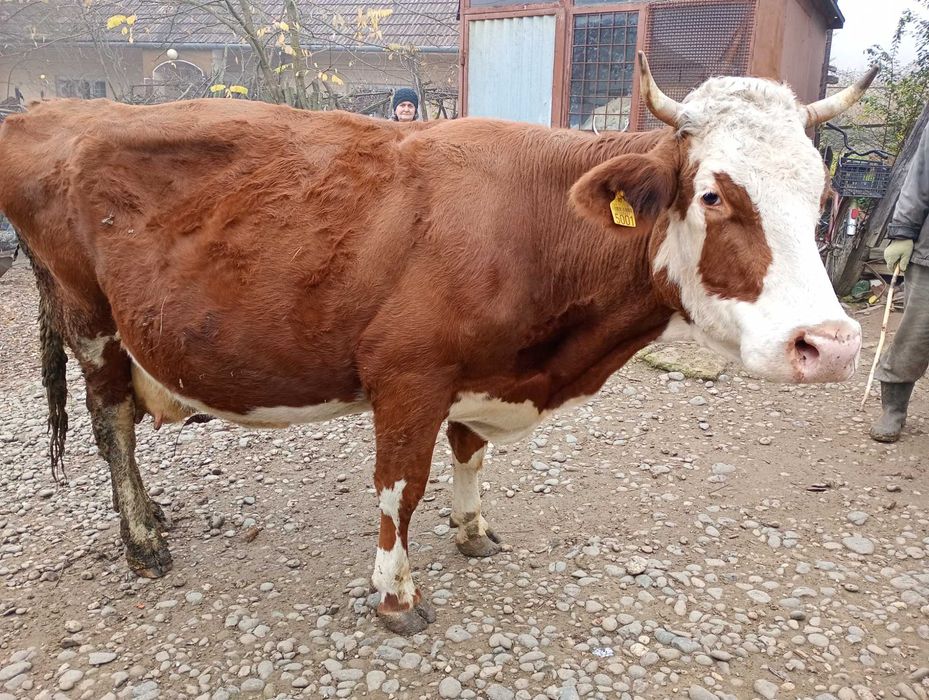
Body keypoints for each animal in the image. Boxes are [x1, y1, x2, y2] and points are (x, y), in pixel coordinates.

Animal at [0, 54, 873, 634]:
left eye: (819, 191)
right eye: (713, 194)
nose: (830, 345)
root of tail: (53, 109)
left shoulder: (477, 370)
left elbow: (470, 454)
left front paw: (473, 530)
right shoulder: (407, 375)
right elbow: (400, 490)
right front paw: (396, 594)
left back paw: (153, 515)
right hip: (90, 317)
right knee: (112, 423)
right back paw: (143, 541)